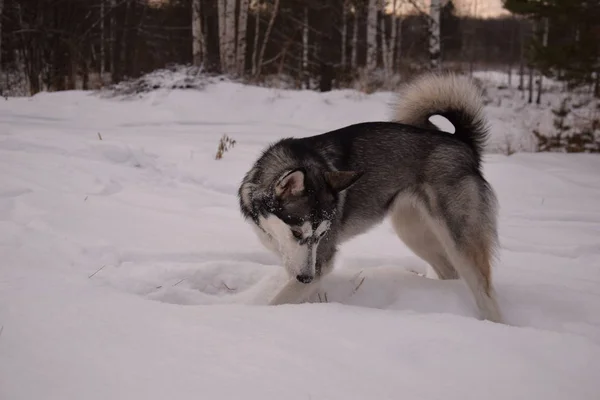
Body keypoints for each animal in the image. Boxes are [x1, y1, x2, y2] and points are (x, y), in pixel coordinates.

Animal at [237, 72, 504, 322]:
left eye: (322, 235)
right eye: (296, 233)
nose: (306, 277)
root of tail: (461, 142)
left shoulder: (320, 260)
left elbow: (278, 300)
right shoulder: (296, 257)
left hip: (459, 241)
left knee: (485, 291)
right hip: (412, 231)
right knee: (449, 272)